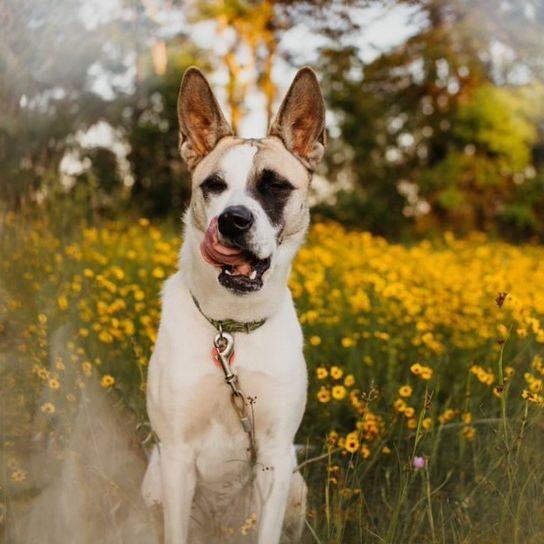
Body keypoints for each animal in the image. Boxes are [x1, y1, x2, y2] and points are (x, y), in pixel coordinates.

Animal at [142, 65, 326, 544]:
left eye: (275, 185)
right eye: (214, 185)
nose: (233, 221)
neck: (232, 326)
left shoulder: (275, 455)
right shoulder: (176, 455)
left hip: (296, 482)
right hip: (153, 481)